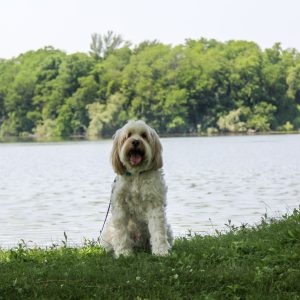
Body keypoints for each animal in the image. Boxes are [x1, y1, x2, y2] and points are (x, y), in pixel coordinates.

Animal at [101, 120, 172, 256]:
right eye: (128, 135)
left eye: (144, 135)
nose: (135, 142)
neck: (136, 173)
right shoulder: (120, 206)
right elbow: (121, 232)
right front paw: (123, 252)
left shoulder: (154, 205)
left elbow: (158, 230)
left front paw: (161, 251)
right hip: (108, 233)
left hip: (168, 229)